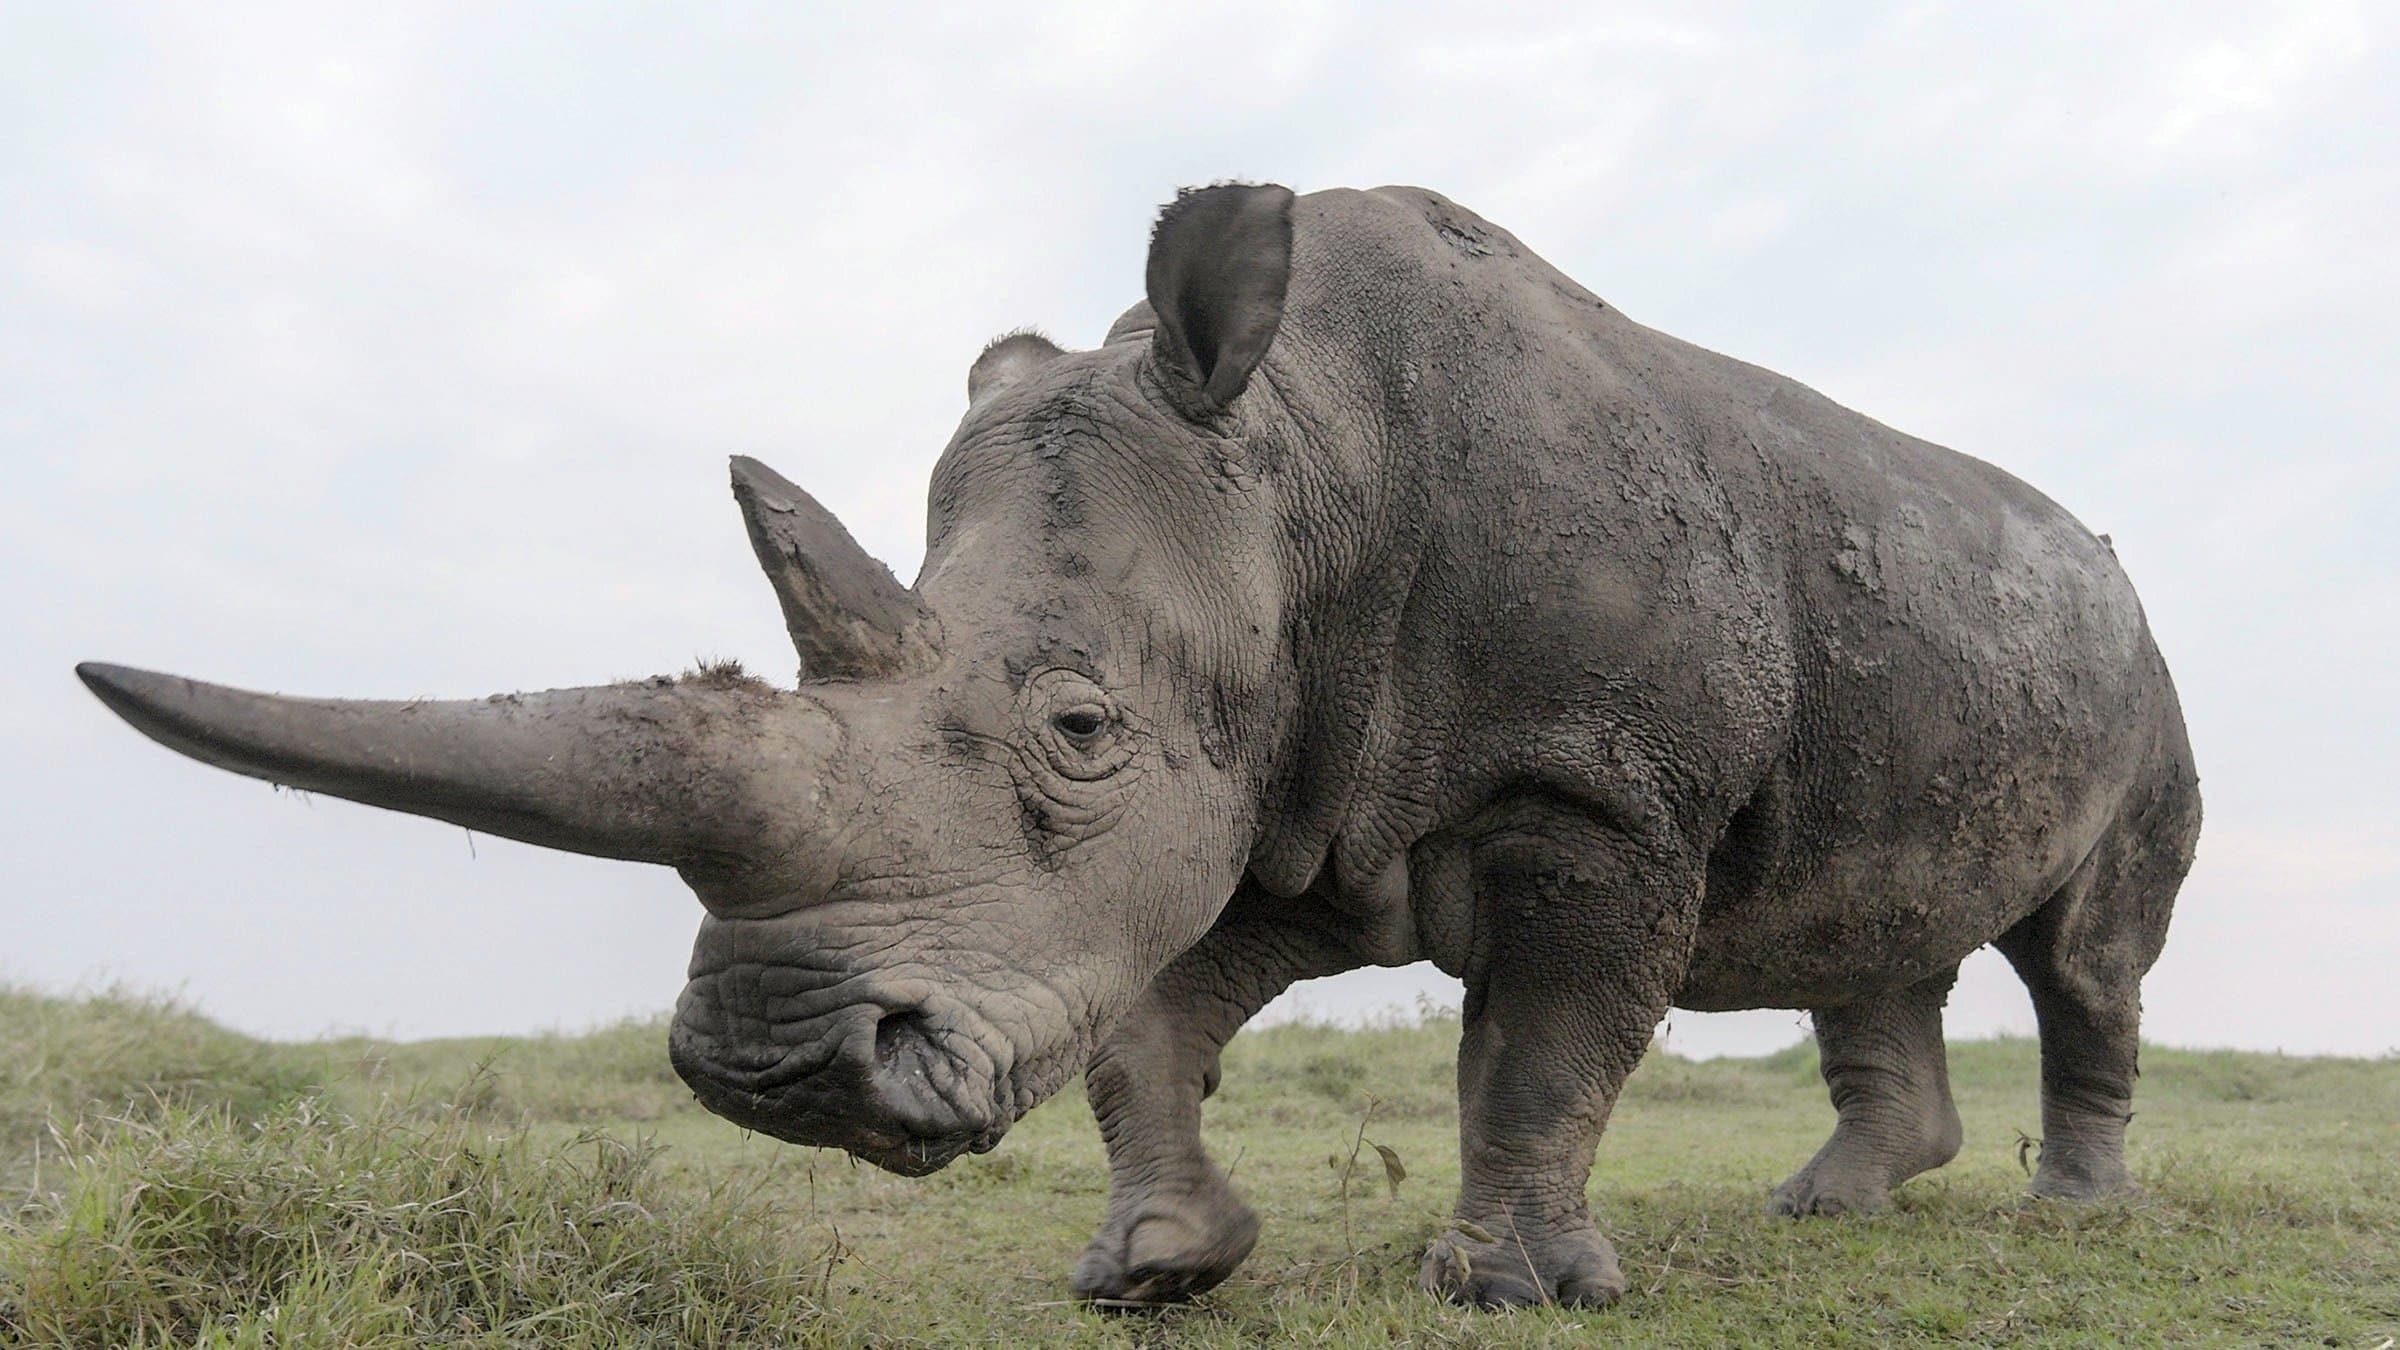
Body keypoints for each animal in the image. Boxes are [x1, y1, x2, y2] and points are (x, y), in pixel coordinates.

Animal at [78, 183, 2200, 1310]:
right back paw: (1835, 1205)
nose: (776, 1076)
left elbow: (1541, 1048)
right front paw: (1162, 1266)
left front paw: (1517, 1291)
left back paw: (2073, 1216)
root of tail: (2114, 577)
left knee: (2084, 955)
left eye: (1076, 724)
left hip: (2143, 675)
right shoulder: (1285, 789)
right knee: (1875, 927)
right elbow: (1144, 1025)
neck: (1301, 456)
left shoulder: (1586, 784)